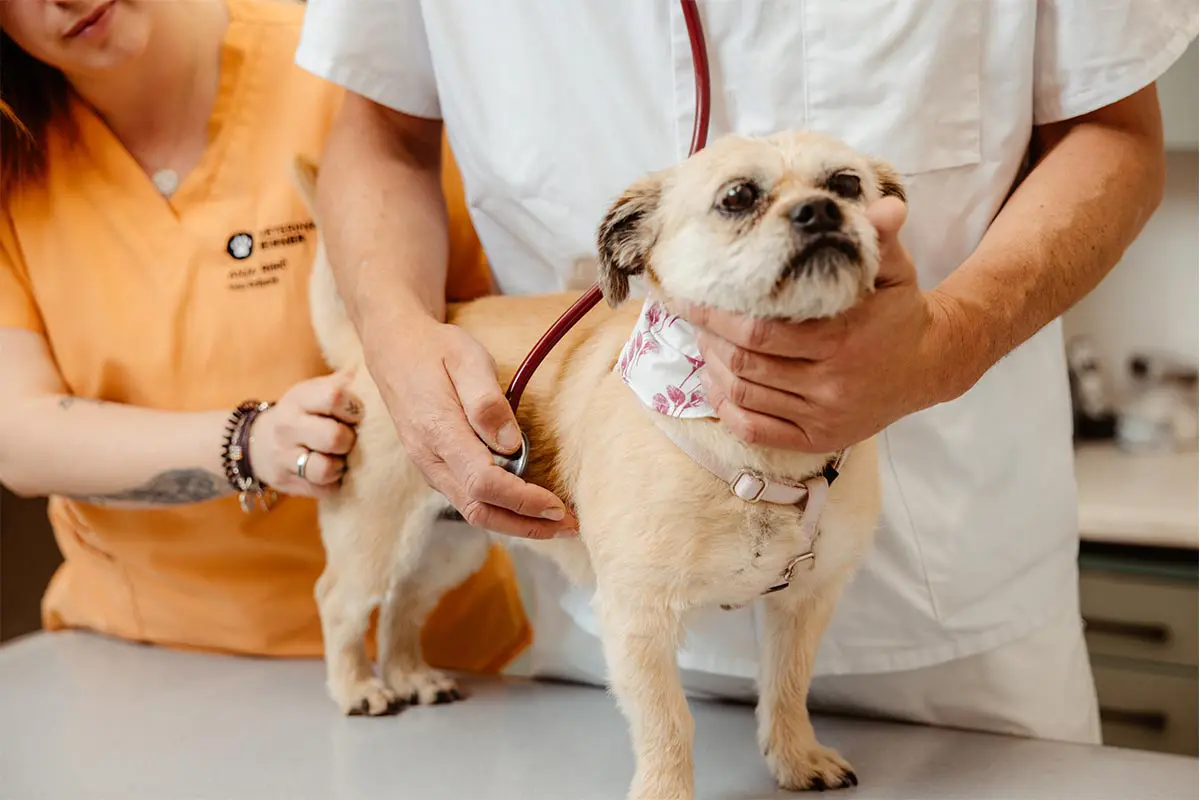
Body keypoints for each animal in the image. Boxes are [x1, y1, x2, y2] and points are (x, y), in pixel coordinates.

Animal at [292, 129, 901, 799]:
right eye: (738, 197)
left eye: (846, 184)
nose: (820, 210)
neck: (758, 454)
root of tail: (363, 351)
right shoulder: (639, 619)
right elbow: (669, 724)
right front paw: (665, 792)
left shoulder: (803, 604)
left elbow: (788, 688)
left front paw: (795, 757)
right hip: (376, 536)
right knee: (338, 601)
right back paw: (357, 687)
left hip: (451, 543)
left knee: (403, 601)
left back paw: (410, 674)